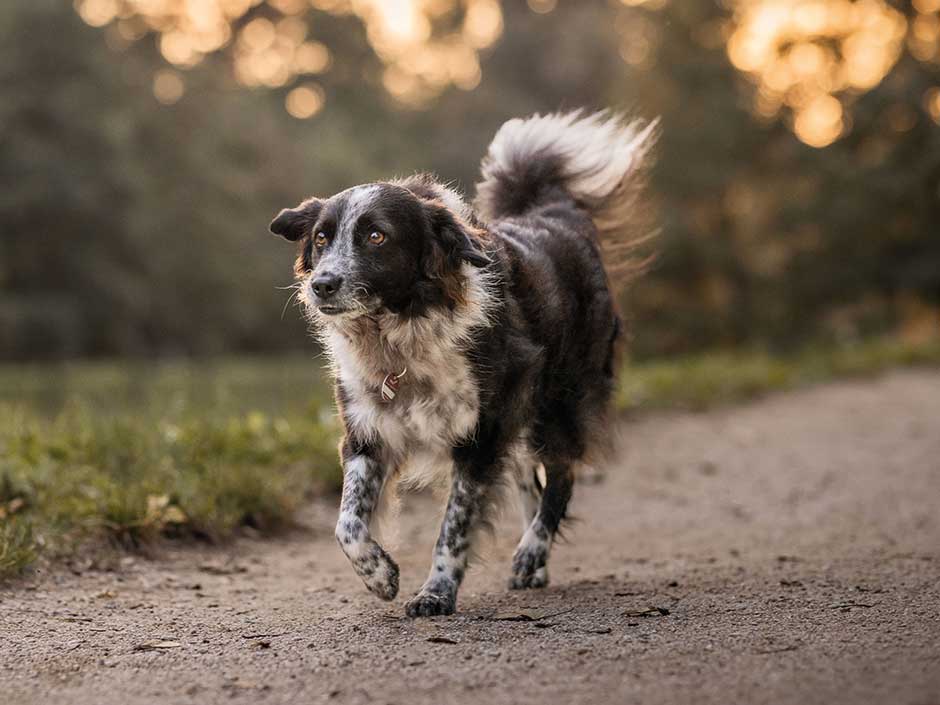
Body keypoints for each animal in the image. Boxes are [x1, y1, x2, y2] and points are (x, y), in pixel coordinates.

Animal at [268, 111, 656, 616]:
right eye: (321, 238)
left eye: (376, 236)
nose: (322, 285)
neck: (400, 332)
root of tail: (552, 213)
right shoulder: (367, 433)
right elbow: (347, 524)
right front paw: (380, 576)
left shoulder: (480, 436)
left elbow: (454, 528)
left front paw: (436, 592)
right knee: (530, 479)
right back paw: (535, 567)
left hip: (558, 405)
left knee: (562, 477)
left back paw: (531, 550)